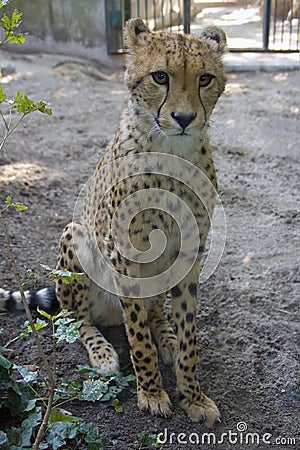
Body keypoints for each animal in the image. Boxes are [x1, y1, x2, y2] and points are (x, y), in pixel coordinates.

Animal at [55, 17, 226, 426]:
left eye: (205, 79)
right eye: (160, 76)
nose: (184, 118)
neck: (172, 151)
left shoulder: (189, 251)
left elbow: (188, 331)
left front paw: (193, 396)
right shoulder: (123, 253)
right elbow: (136, 333)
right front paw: (151, 392)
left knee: (155, 312)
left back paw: (165, 335)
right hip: (76, 236)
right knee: (76, 319)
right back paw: (102, 351)